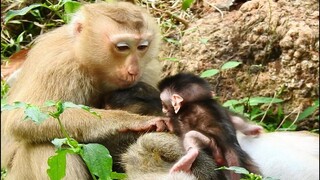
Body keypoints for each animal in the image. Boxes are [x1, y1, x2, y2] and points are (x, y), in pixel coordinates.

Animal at [1, 1, 172, 180]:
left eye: (142, 47)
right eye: (122, 47)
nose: (133, 70)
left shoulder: (149, 69)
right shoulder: (58, 66)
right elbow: (25, 118)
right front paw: (129, 120)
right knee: (47, 144)